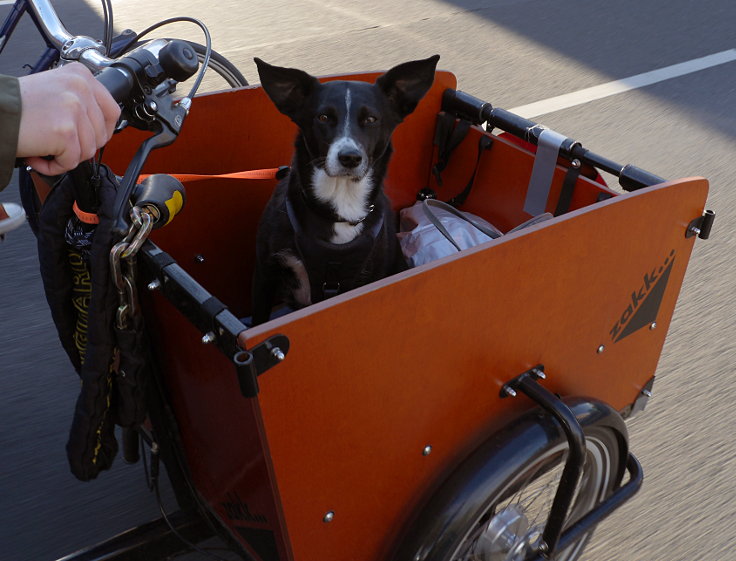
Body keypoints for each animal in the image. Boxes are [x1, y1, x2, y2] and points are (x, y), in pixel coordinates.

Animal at [250, 54, 440, 326]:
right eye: (323, 117)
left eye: (371, 119)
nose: (349, 157)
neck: (341, 206)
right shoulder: (264, 273)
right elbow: (257, 319)